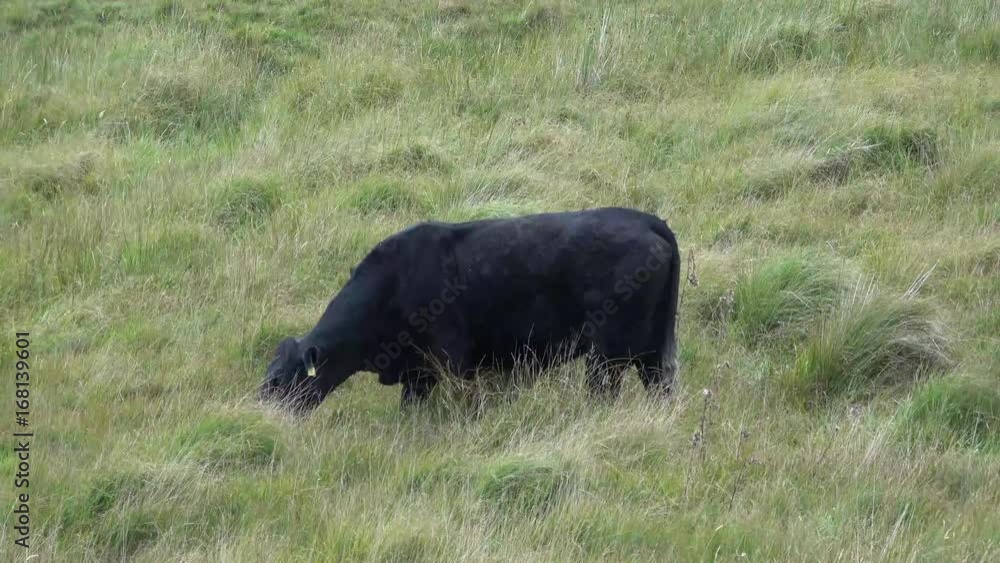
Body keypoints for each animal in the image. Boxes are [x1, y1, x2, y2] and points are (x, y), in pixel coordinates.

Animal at [260, 207, 680, 412]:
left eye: (279, 381)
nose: (261, 412)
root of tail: (647, 221)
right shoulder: (418, 374)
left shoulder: (454, 362)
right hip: (653, 355)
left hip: (607, 356)